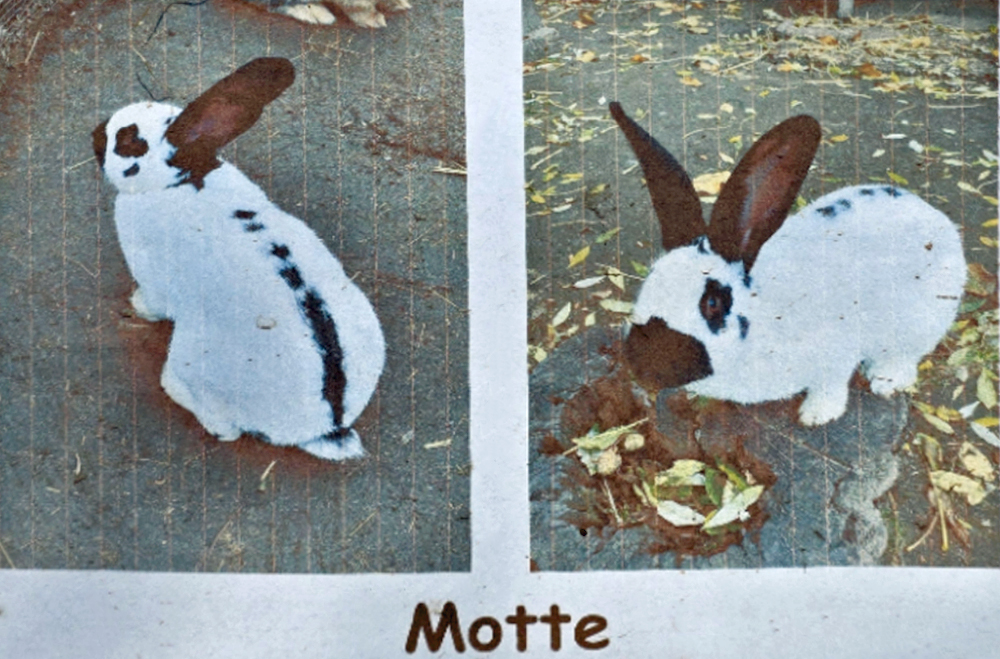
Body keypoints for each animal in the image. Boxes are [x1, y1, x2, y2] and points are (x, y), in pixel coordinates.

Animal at [92, 57, 385, 460]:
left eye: (127, 141)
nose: (93, 134)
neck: (179, 180)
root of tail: (328, 426)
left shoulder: (154, 277)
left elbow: (153, 302)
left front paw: (136, 306)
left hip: (193, 356)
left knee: (224, 428)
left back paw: (173, 387)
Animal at [609, 102, 966, 426]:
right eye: (649, 281)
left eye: (712, 302)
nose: (642, 366)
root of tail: (931, 213)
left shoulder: (836, 354)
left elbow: (831, 386)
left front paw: (816, 415)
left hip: (923, 321)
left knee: (906, 354)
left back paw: (885, 381)